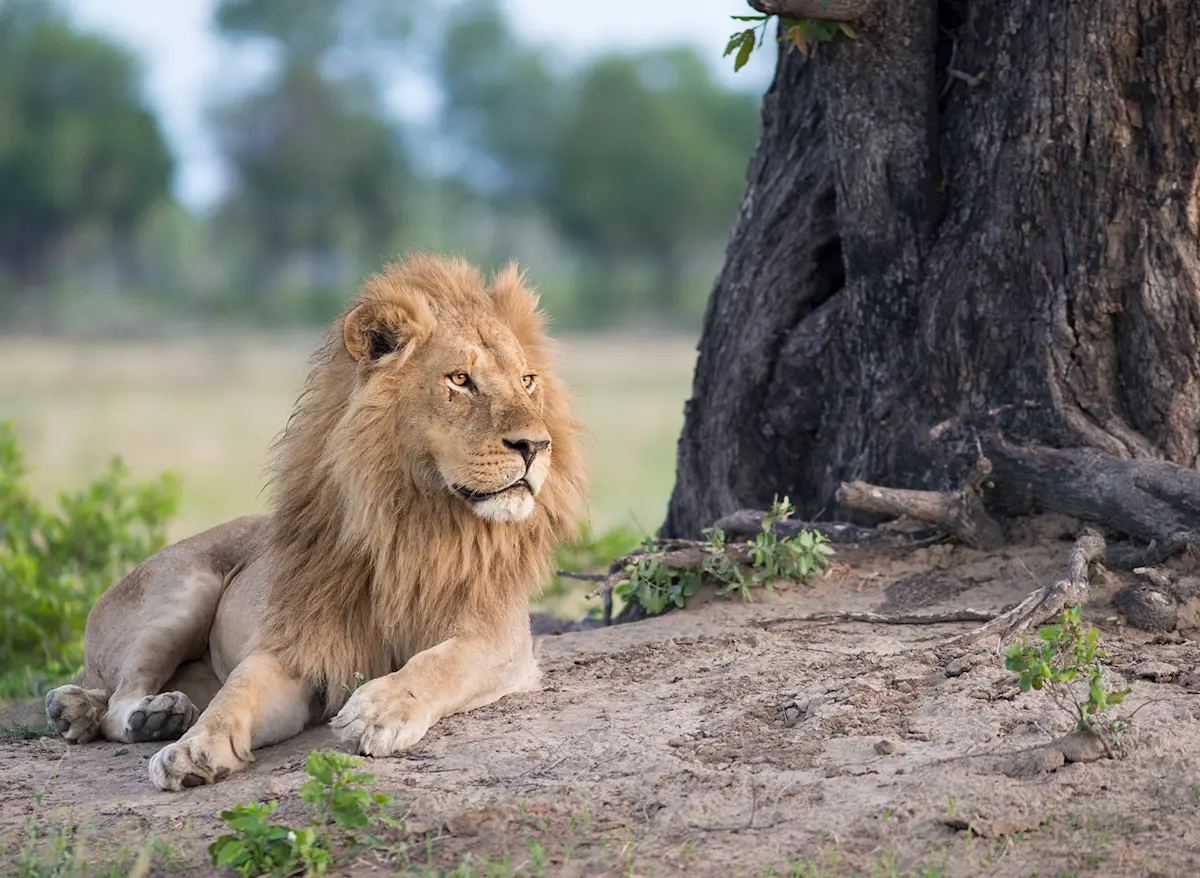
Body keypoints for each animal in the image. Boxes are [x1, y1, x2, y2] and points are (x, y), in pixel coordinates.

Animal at [43, 253, 588, 791]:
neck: (418, 519)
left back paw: (102, 711)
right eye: (459, 380)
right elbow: (237, 693)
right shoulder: (299, 646)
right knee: (119, 703)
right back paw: (152, 718)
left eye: (527, 381)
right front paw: (193, 748)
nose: (536, 446)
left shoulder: (499, 636)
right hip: (180, 591)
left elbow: (442, 662)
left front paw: (379, 710)